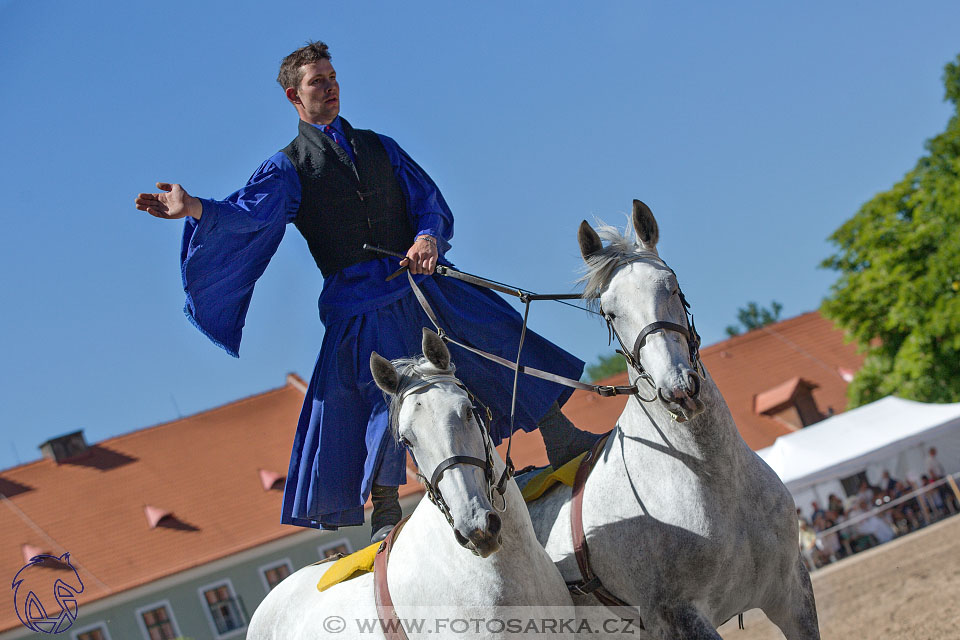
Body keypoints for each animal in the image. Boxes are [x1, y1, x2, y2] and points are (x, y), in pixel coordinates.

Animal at [524, 201, 816, 640]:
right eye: (611, 313)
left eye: (672, 287)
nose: (679, 390)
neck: (713, 477)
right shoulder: (680, 617)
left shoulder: (791, 592)